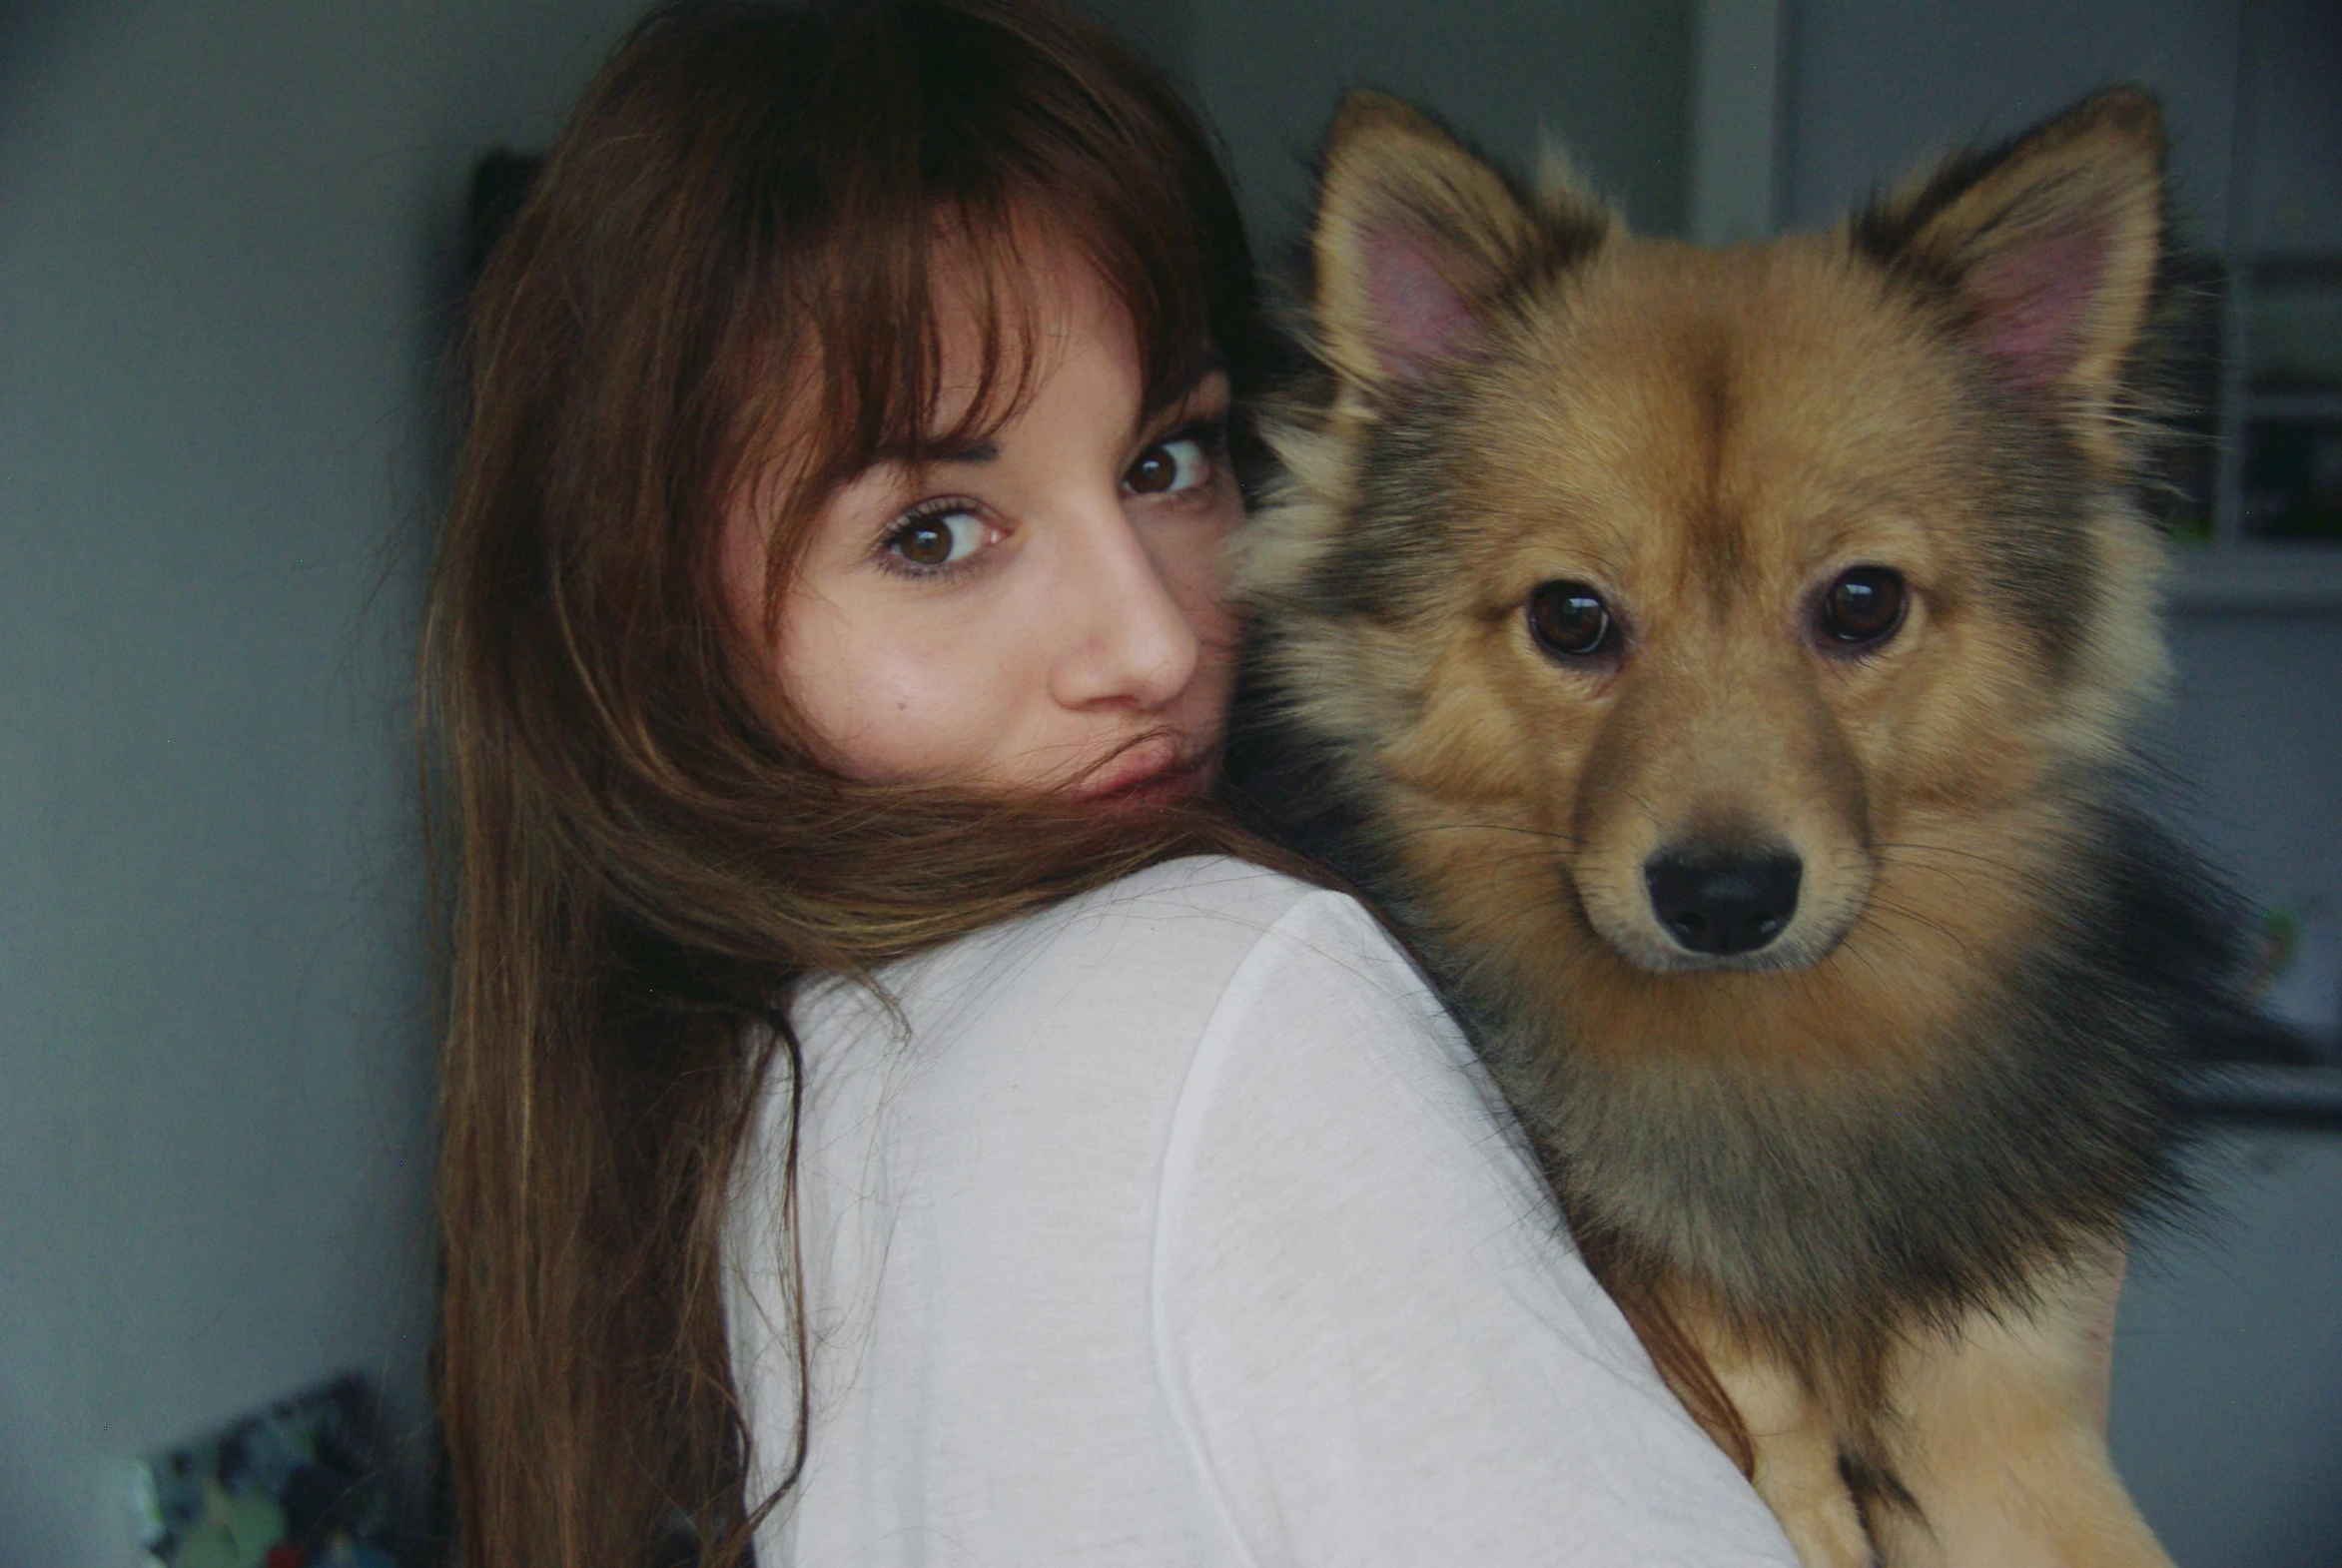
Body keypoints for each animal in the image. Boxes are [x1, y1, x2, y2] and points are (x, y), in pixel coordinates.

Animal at [1245, 89, 2285, 1568]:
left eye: (1861, 601)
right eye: (1570, 616)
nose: (1726, 898)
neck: (1775, 1052)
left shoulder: (2008, 1405)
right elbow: (1747, 1374)